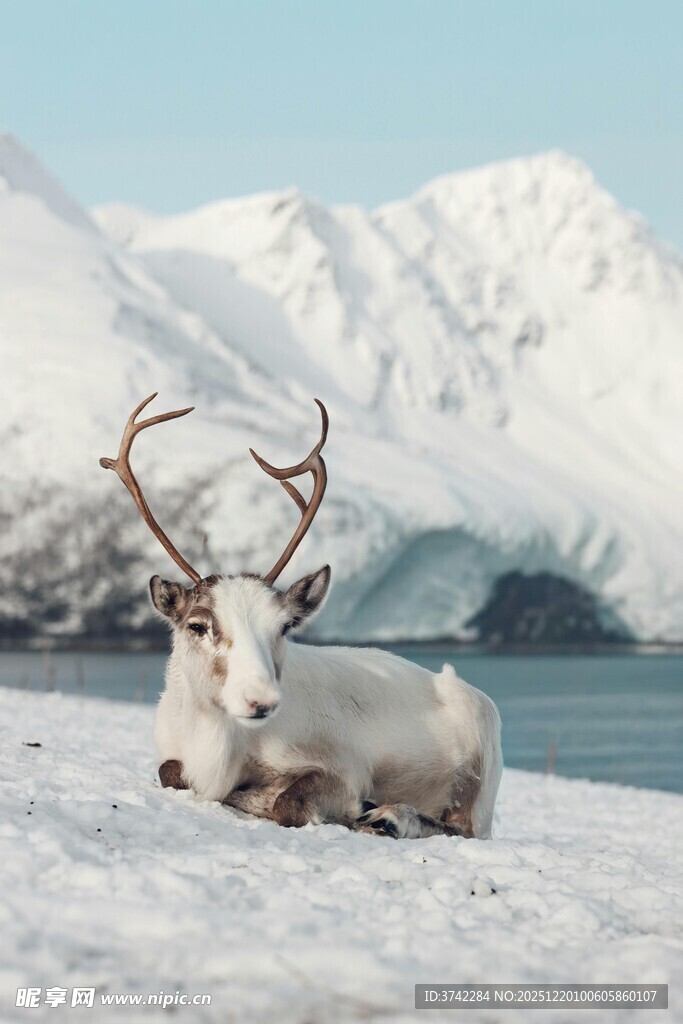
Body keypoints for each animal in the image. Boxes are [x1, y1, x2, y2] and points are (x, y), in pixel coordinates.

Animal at [100, 394, 502, 839]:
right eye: (197, 625)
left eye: (284, 627)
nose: (261, 699)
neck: (219, 746)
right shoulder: (173, 753)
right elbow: (170, 772)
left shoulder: (344, 768)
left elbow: (287, 801)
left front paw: (346, 809)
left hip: (476, 783)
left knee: (459, 826)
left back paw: (389, 817)